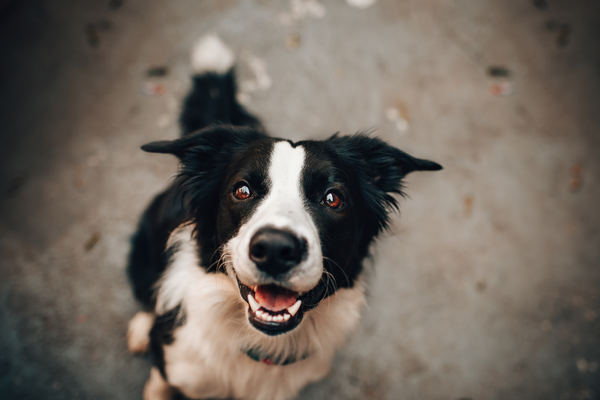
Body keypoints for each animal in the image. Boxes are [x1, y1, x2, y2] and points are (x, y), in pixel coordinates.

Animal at [125, 35, 440, 400]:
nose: (276, 250)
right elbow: (159, 383)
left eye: (333, 198)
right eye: (242, 190)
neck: (260, 343)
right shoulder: (176, 365)